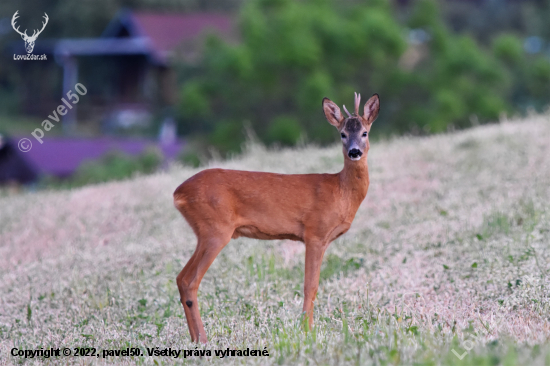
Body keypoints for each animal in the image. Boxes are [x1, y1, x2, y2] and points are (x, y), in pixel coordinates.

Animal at [175, 92, 382, 344]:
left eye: (365, 132)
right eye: (342, 134)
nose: (354, 152)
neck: (340, 191)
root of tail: (178, 193)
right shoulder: (315, 232)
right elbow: (310, 285)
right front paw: (307, 331)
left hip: (205, 232)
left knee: (180, 278)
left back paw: (196, 338)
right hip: (215, 229)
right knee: (189, 280)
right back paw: (203, 339)